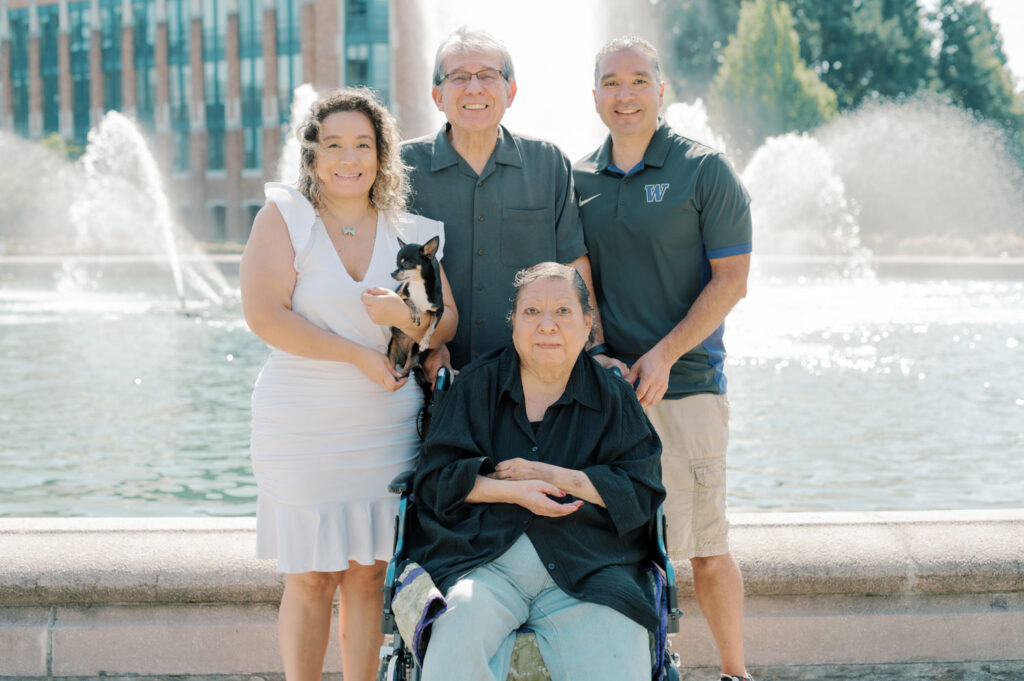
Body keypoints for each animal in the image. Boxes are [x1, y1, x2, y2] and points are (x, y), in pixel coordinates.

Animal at [387, 236, 444, 378]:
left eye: (406, 264)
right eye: (396, 263)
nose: (392, 273)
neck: (418, 283)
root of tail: (402, 359)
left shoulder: (439, 310)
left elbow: (433, 327)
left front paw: (425, 342)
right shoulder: (400, 296)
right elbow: (410, 301)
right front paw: (416, 312)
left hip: (414, 352)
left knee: (405, 372)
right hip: (392, 349)